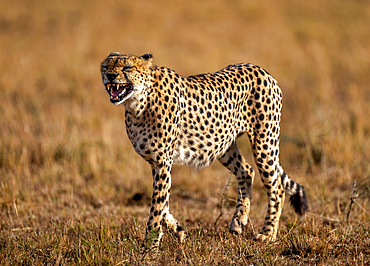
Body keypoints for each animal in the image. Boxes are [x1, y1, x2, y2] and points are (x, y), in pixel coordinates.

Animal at [99, 52, 308, 251]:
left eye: (127, 67)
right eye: (106, 66)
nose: (110, 75)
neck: (138, 104)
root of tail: (260, 69)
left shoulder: (163, 162)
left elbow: (157, 205)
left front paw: (149, 247)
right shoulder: (156, 162)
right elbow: (162, 203)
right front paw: (179, 230)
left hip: (264, 142)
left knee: (276, 187)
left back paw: (268, 233)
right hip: (222, 144)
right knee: (246, 171)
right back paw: (239, 220)